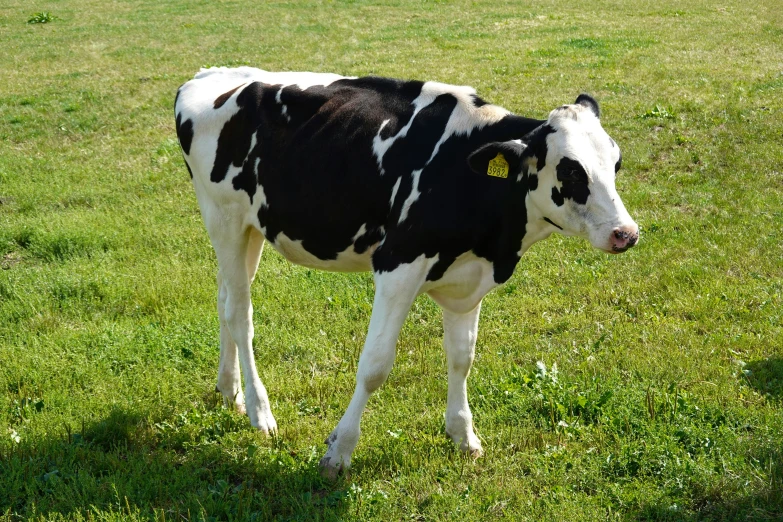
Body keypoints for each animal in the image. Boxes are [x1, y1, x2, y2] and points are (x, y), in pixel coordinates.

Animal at [175, 67, 640, 478]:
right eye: (571, 170)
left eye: (616, 163)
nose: (627, 233)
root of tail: (206, 76)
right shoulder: (397, 265)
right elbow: (375, 364)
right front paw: (338, 453)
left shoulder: (468, 280)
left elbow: (462, 357)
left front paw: (464, 435)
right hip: (223, 217)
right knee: (240, 314)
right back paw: (260, 412)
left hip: (250, 228)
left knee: (224, 300)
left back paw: (229, 391)